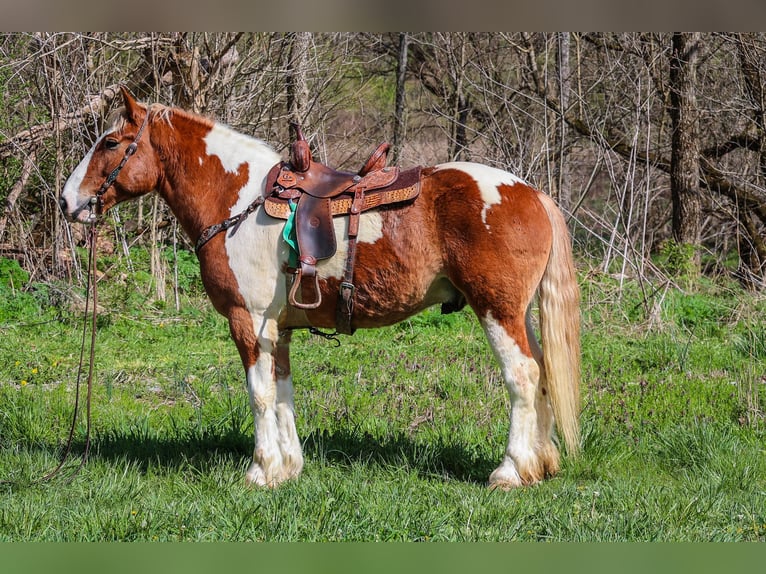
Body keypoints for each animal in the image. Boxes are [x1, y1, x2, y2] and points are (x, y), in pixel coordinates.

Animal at [60, 88, 580, 492]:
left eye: (110, 142)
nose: (67, 201)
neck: (238, 199)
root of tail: (530, 192)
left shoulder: (248, 321)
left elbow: (259, 394)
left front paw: (261, 470)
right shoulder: (278, 328)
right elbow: (282, 391)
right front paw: (288, 467)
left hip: (496, 310)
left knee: (523, 376)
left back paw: (511, 470)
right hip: (519, 314)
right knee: (543, 374)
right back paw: (541, 464)